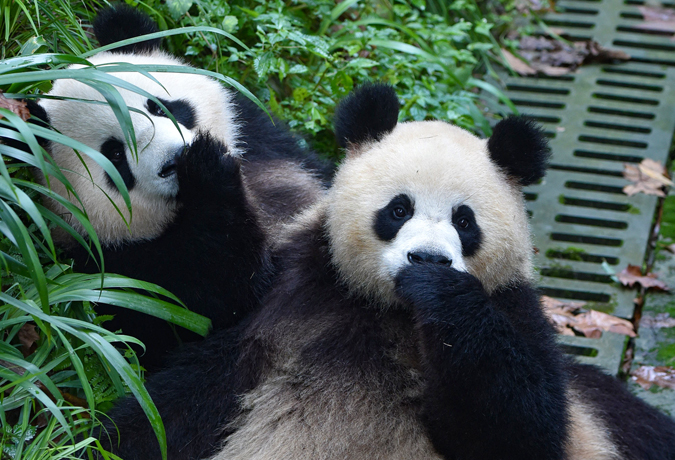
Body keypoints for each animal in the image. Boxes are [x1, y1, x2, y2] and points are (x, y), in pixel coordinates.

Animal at [13, 4, 332, 370]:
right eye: (115, 154)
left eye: (157, 106)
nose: (176, 159)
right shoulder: (125, 271)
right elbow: (226, 292)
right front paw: (207, 172)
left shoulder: (271, 148)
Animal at [99, 83, 675, 460]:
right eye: (399, 209)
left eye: (464, 221)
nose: (428, 259)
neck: (391, 311)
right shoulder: (292, 295)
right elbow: (187, 387)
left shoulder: (514, 310)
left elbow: (518, 427)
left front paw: (443, 293)